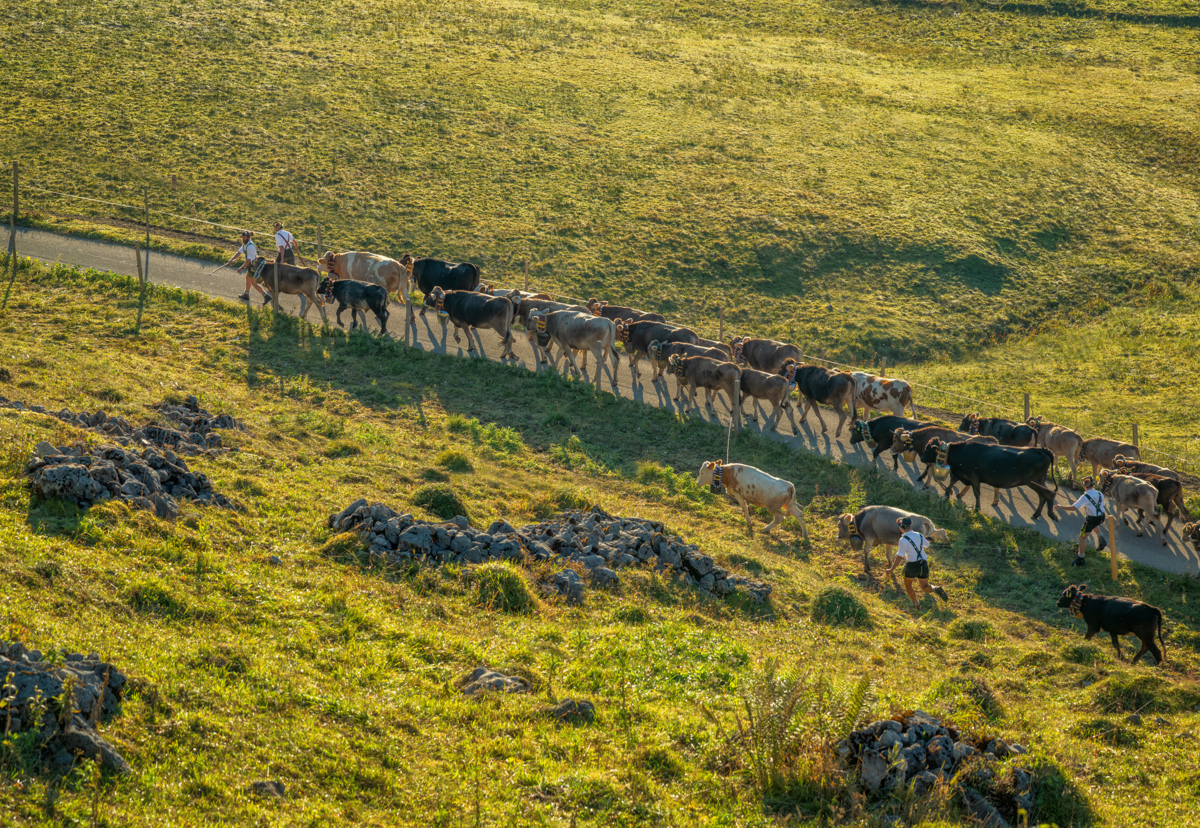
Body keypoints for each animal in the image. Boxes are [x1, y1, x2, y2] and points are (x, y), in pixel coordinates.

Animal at [917, 440, 1058, 520]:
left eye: (928, 449)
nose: (922, 458)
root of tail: (1042, 449)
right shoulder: (959, 473)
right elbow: (951, 482)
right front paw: (947, 494)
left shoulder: (973, 476)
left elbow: (976, 492)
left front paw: (977, 508)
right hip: (1038, 482)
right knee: (1043, 496)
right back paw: (1036, 514)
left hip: (1034, 482)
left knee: (1049, 494)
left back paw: (1051, 514)